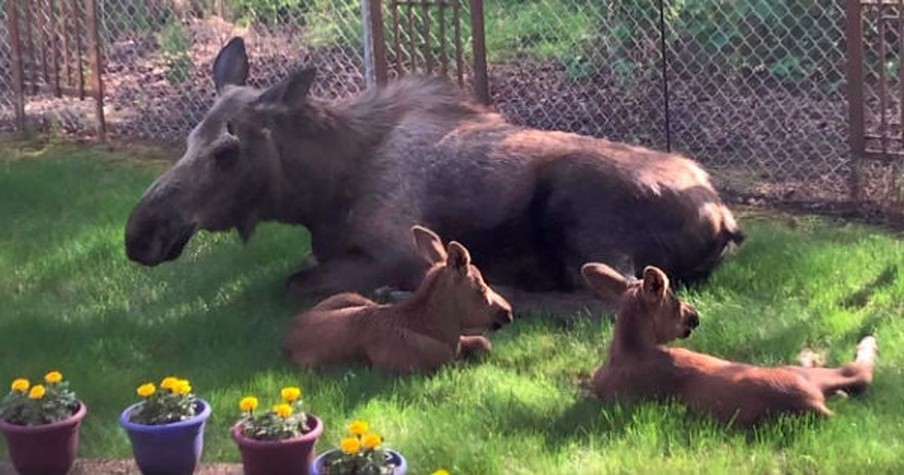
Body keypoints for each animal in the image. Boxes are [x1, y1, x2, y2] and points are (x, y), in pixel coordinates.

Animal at [123, 37, 744, 318]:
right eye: (188, 139)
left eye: (227, 152)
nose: (140, 234)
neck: (319, 194)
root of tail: (724, 219)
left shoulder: (395, 247)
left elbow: (294, 282)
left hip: (580, 210)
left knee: (607, 300)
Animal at [282, 227, 512, 376]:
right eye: (480, 288)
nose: (507, 312)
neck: (441, 331)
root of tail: (290, 331)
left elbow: (484, 343)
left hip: (354, 297)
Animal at [584, 264, 880, 428]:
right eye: (676, 300)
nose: (695, 315)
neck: (629, 348)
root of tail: (814, 406)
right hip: (802, 376)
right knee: (857, 374)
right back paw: (861, 343)